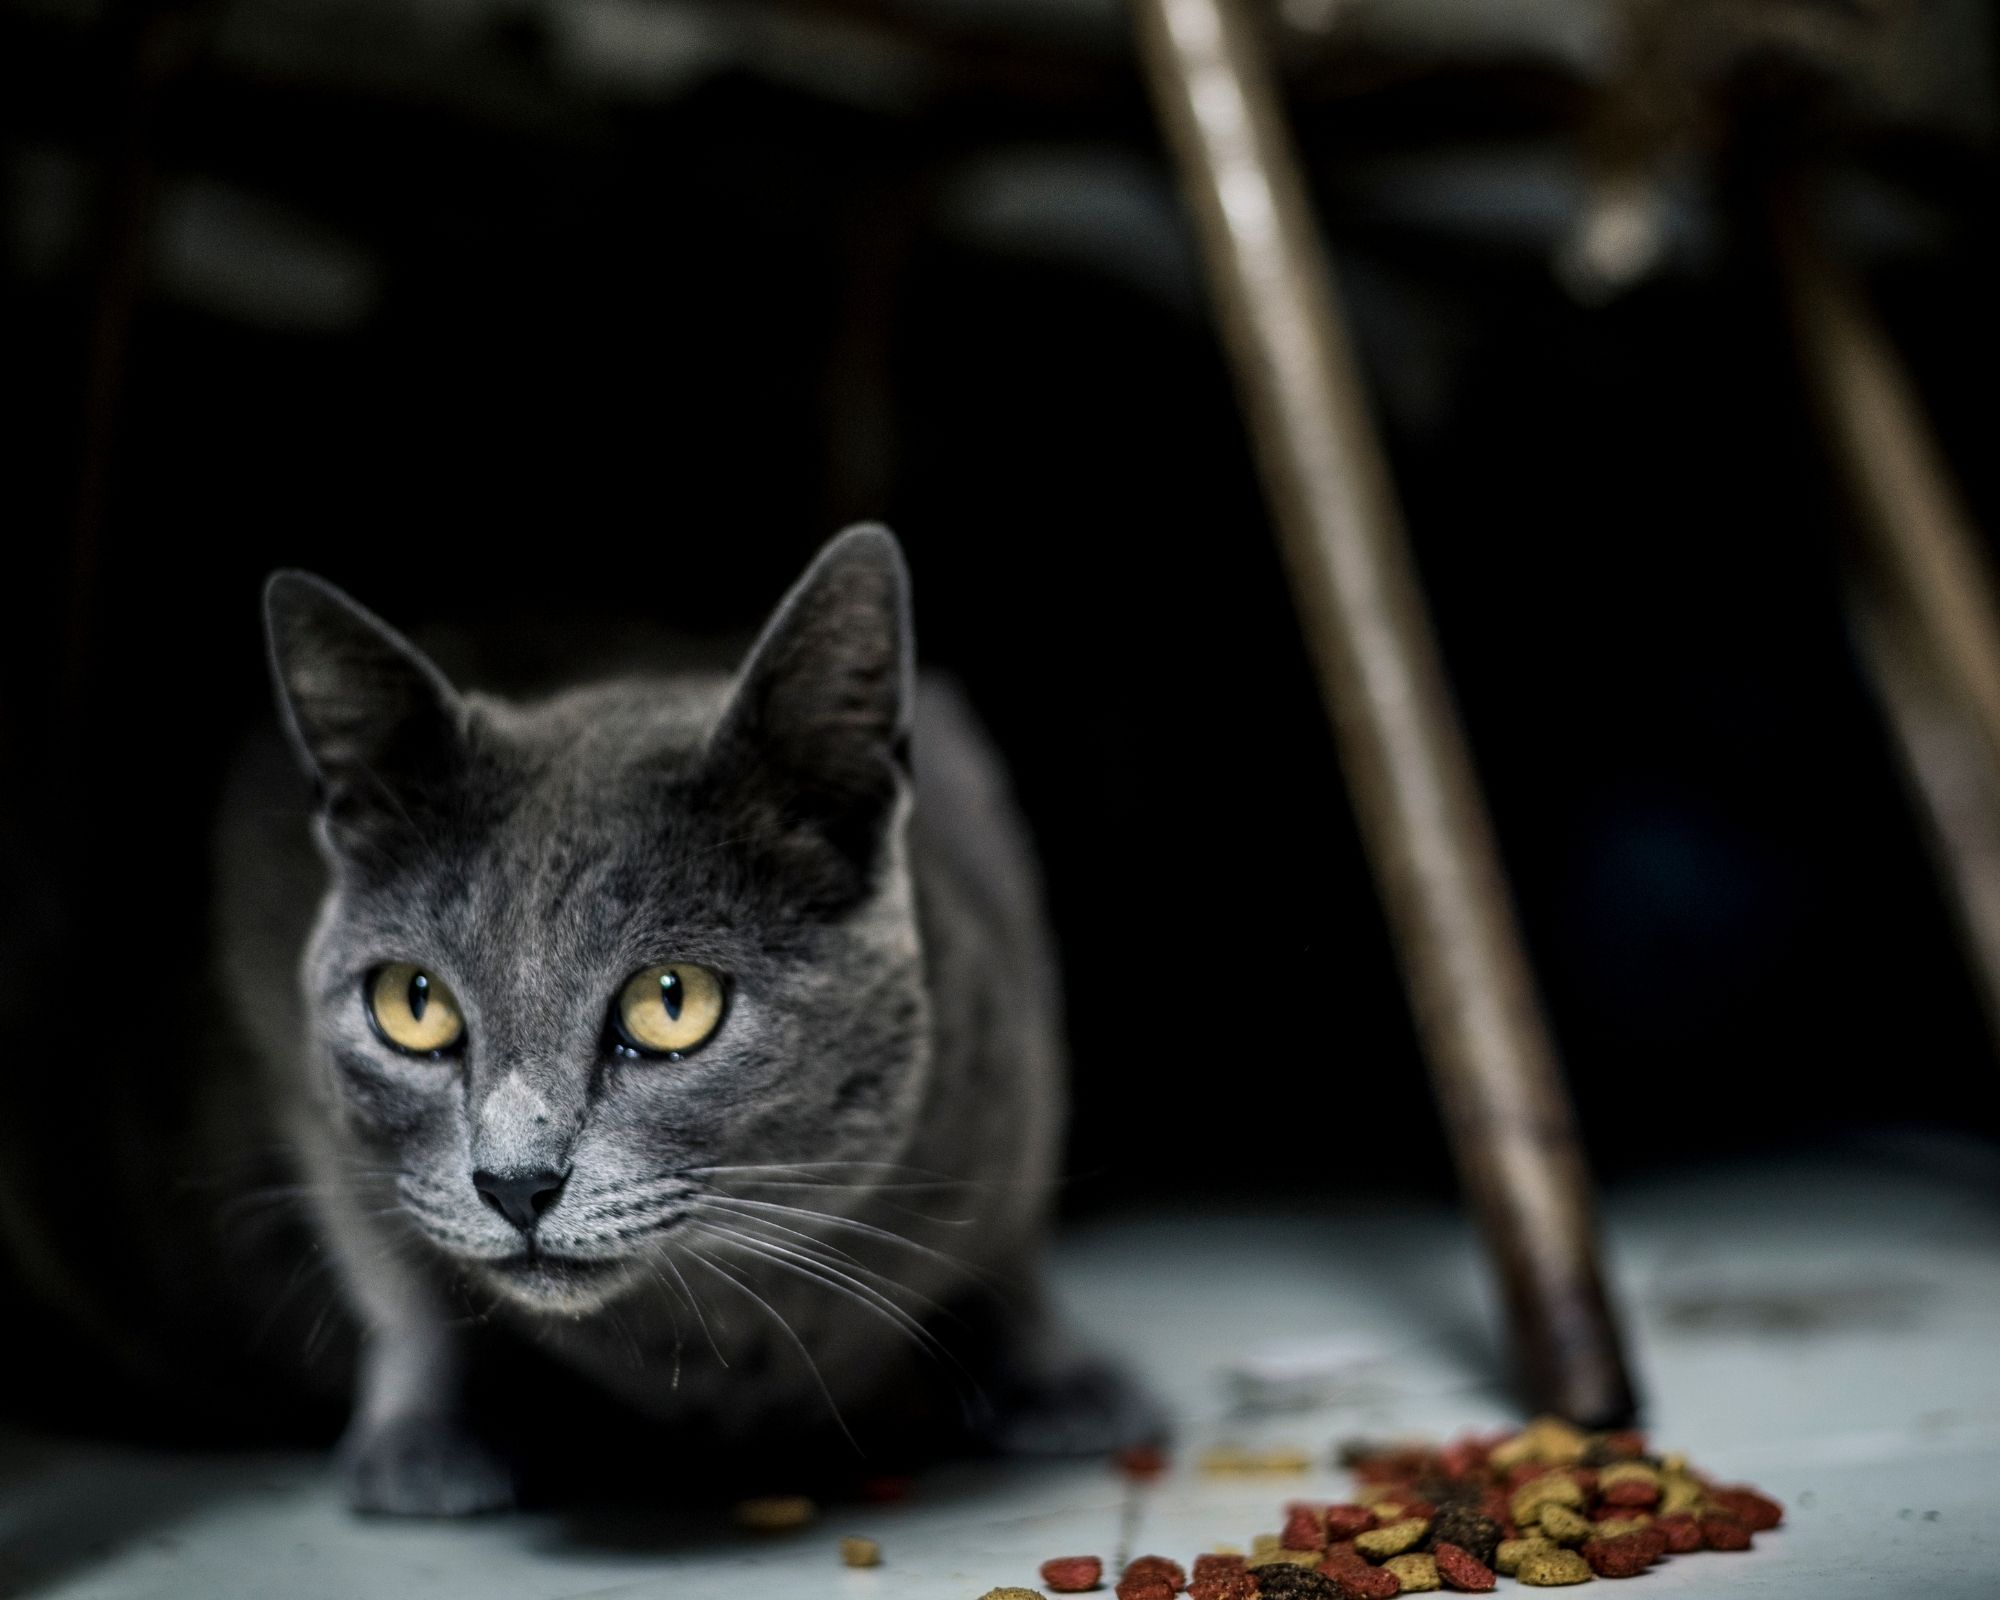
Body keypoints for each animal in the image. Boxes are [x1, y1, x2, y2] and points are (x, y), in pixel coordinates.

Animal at [223, 528, 1144, 1512]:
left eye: (672, 1001)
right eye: (413, 1003)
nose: (515, 1183)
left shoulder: (1013, 1027)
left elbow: (1011, 1235)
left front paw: (1058, 1381)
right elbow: (395, 1274)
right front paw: (428, 1433)